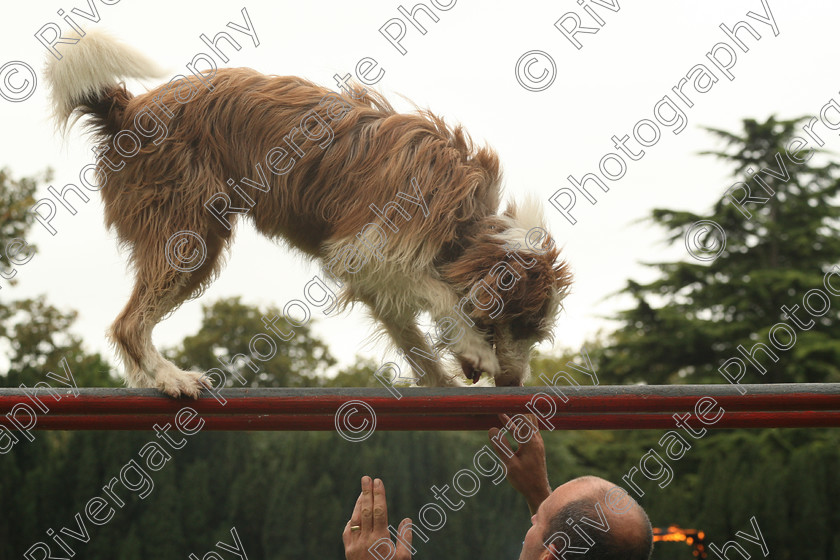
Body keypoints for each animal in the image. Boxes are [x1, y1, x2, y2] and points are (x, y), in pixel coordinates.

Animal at [44, 31, 572, 398]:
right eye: (512, 323)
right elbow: (442, 296)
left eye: (534, 332)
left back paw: (151, 379)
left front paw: (439, 381)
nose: (513, 384)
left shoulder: (379, 275)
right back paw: (172, 378)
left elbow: (413, 337)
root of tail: (128, 108)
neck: (466, 225)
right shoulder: (365, 247)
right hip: (189, 237)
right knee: (128, 324)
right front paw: (474, 348)